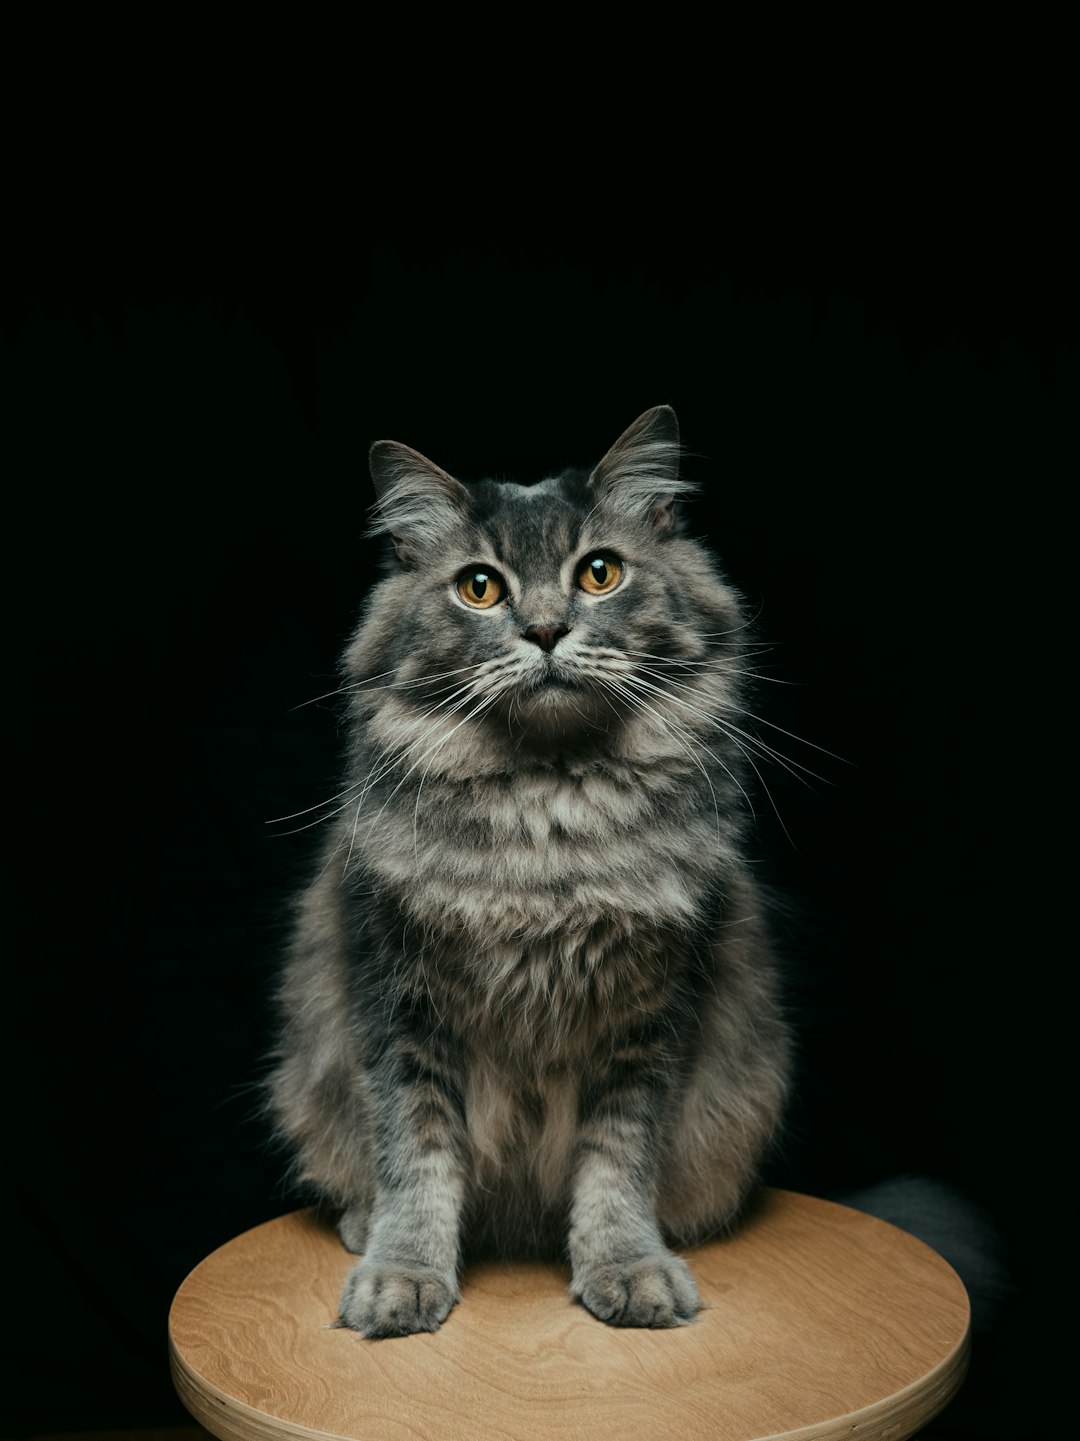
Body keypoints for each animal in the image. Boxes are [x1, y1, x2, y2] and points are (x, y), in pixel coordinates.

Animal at [269, 406, 790, 1337]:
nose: (546, 630)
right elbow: (416, 1157)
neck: (545, 825)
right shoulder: (398, 1005)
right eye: (480, 587)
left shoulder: (651, 1015)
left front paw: (627, 1268)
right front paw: (401, 1276)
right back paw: (362, 1223)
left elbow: (617, 1164)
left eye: (599, 573)